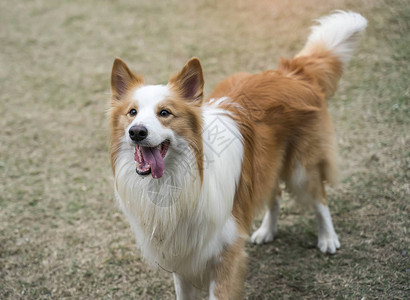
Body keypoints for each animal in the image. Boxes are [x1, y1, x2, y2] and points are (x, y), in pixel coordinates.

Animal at [108, 10, 366, 298]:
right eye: (132, 112)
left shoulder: (225, 253)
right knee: (274, 193)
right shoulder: (181, 256)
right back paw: (266, 231)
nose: (136, 132)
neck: (176, 179)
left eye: (164, 113)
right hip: (265, 163)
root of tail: (291, 71)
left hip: (302, 167)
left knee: (319, 197)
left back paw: (328, 238)